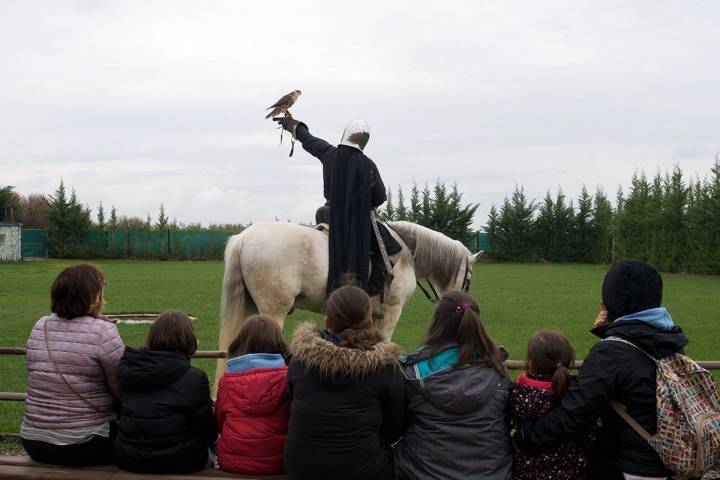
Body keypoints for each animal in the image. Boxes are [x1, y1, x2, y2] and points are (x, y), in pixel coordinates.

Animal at [215, 219, 484, 376]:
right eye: (468, 280)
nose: (464, 303)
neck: (406, 252)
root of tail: (243, 238)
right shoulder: (392, 310)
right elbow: (385, 341)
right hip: (273, 312)